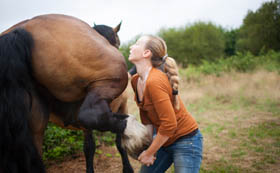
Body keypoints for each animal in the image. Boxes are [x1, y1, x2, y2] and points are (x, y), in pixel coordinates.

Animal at [0, 13, 151, 173]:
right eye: (118, 42)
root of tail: (20, 31)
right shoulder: (122, 106)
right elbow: (116, 144)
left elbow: (89, 148)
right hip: (114, 77)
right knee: (90, 114)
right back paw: (139, 136)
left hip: (36, 124)